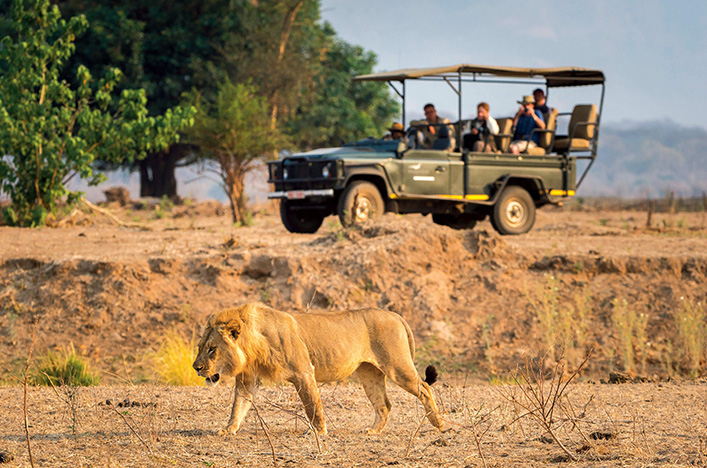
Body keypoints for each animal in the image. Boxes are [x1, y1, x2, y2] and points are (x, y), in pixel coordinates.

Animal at [192, 302, 445, 435]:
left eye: (212, 349)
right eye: (200, 347)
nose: (196, 367)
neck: (252, 344)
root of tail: (395, 314)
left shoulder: (303, 371)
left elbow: (312, 404)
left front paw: (319, 432)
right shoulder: (248, 379)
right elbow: (239, 405)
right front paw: (228, 429)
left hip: (397, 365)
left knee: (424, 388)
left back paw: (439, 424)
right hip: (368, 373)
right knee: (384, 404)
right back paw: (373, 431)